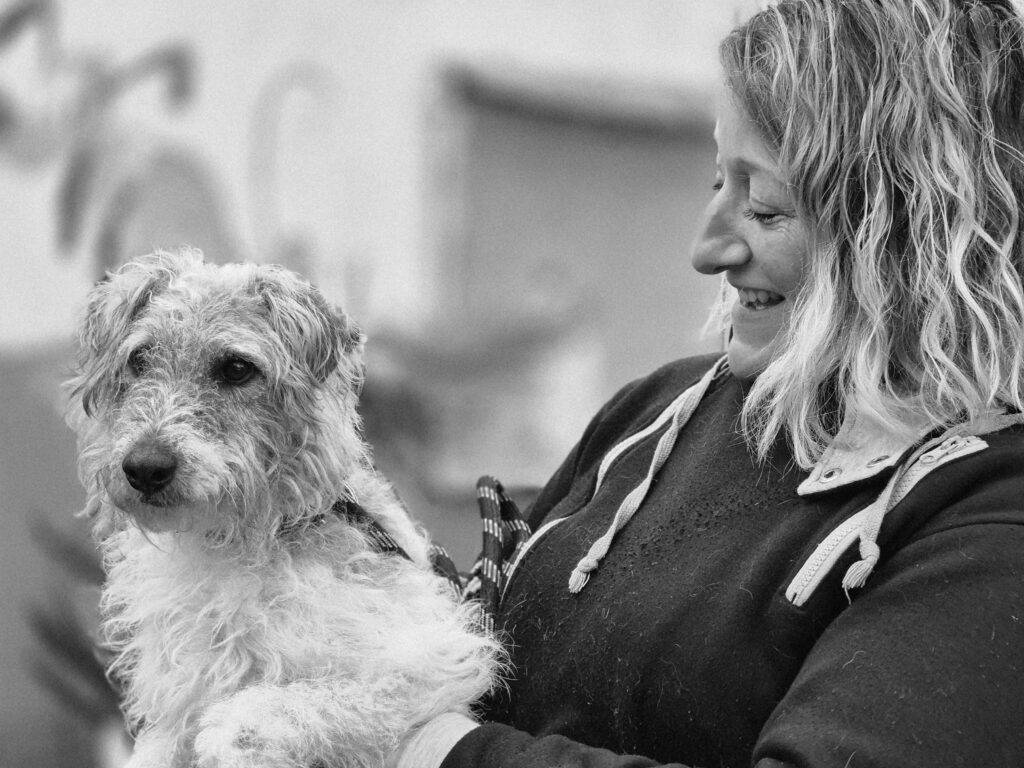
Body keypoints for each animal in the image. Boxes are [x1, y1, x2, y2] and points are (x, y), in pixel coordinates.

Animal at [66, 248, 500, 768]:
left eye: (236, 368)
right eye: (140, 358)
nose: (145, 468)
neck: (237, 541)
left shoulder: (429, 660)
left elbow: (299, 699)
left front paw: (231, 727)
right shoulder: (176, 704)